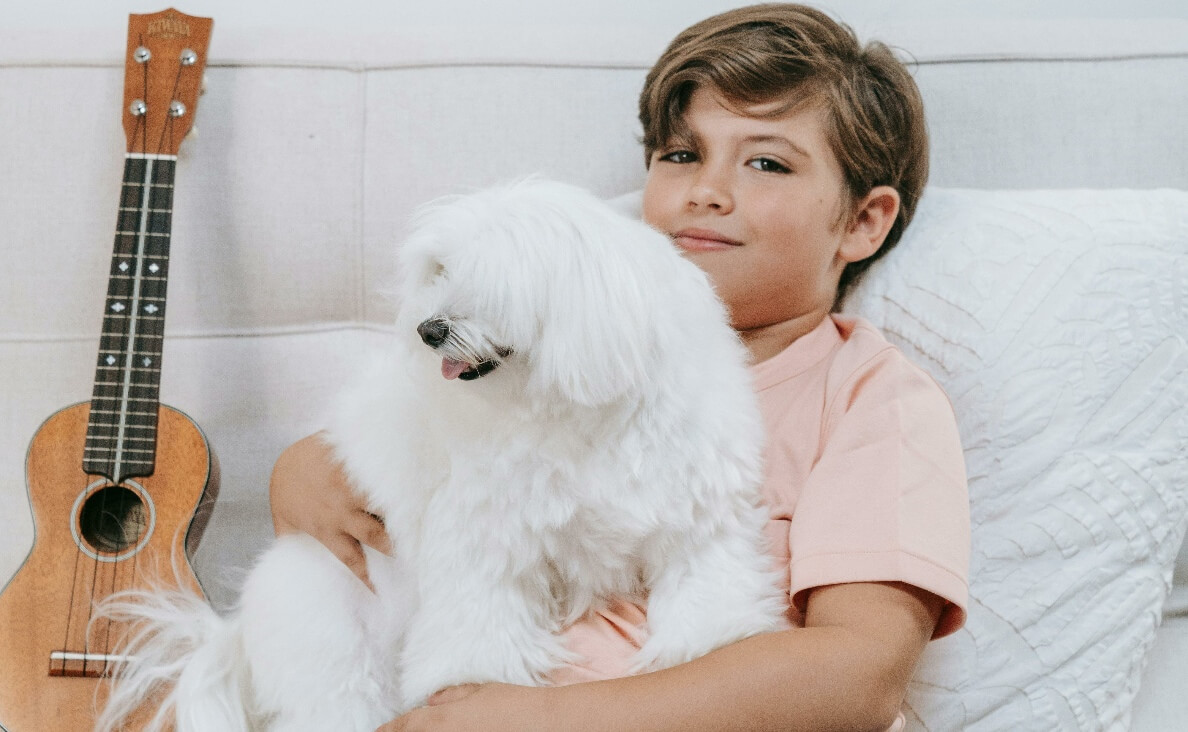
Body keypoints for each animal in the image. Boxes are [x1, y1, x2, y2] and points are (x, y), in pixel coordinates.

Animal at [97, 180, 784, 732]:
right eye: (441, 269)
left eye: (497, 283)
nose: (429, 329)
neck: (572, 413)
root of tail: (234, 630)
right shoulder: (486, 546)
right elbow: (477, 636)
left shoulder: (697, 525)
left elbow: (707, 604)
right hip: (331, 647)